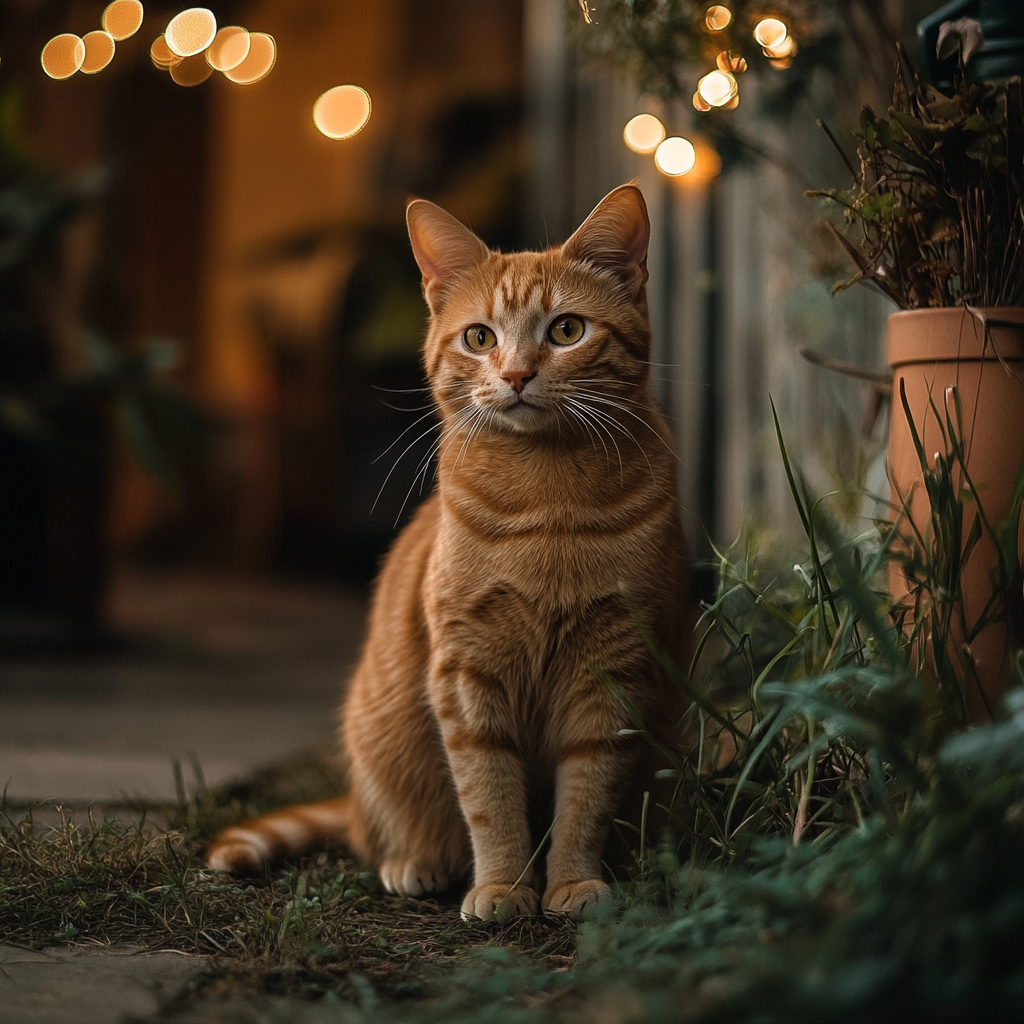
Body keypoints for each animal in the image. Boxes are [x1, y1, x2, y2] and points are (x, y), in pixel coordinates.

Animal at [205, 182, 688, 921]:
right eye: (480, 338)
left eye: (566, 331)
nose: (516, 374)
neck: (548, 503)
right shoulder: (467, 671)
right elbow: (489, 794)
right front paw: (504, 886)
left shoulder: (613, 668)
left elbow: (587, 796)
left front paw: (572, 883)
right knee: (375, 833)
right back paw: (416, 863)